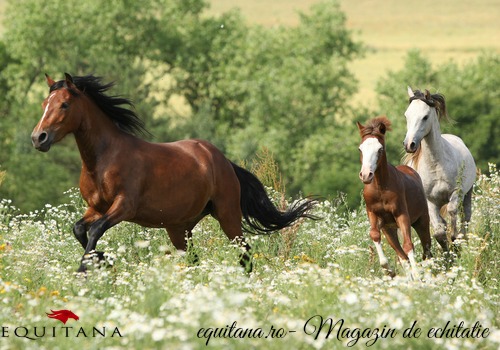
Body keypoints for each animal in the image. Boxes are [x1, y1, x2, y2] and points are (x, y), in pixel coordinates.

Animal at [30, 72, 316, 272]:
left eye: (64, 104)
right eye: (44, 103)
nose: (38, 138)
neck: (102, 160)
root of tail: (222, 160)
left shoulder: (124, 206)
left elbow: (96, 230)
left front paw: (87, 267)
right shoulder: (96, 207)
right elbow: (79, 229)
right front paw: (102, 259)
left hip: (228, 215)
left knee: (244, 253)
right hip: (179, 228)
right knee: (194, 259)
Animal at [358, 117, 432, 278]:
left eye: (380, 149)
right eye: (360, 149)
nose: (366, 175)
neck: (380, 188)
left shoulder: (401, 215)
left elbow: (408, 245)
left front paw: (417, 275)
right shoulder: (374, 214)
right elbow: (374, 235)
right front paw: (388, 270)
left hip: (422, 221)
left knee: (427, 249)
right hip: (390, 230)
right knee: (402, 255)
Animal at [402, 87, 476, 252]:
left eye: (425, 117)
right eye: (407, 115)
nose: (409, 144)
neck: (435, 165)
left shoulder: (456, 192)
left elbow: (452, 211)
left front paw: (455, 240)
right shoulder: (430, 201)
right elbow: (439, 232)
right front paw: (448, 252)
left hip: (468, 193)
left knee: (466, 216)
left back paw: (463, 238)